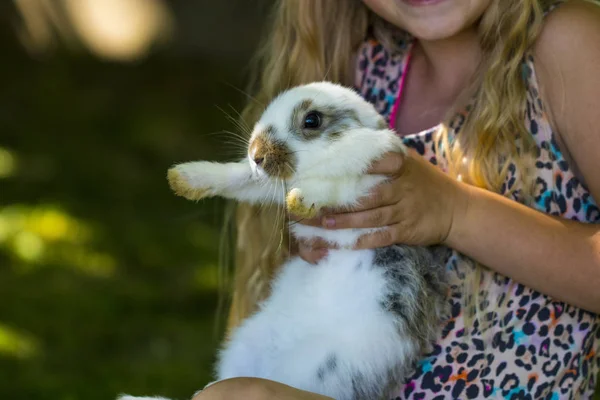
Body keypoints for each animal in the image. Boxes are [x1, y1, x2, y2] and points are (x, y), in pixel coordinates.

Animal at [119, 81, 448, 400]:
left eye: (312, 120)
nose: (257, 156)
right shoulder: (266, 184)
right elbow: (237, 178)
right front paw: (183, 179)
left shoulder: (368, 180)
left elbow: (333, 187)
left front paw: (302, 199)